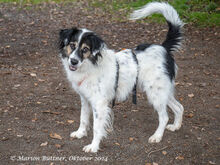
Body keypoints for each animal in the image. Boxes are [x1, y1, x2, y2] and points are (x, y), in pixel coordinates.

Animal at [58, 1, 184, 153]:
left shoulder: (100, 104)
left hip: (155, 93)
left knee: (164, 117)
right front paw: (80, 133)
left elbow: (96, 128)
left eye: (85, 49)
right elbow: (83, 118)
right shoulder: (85, 99)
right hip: (162, 91)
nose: (73, 61)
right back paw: (176, 126)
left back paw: (157, 136)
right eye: (72, 45)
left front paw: (93, 146)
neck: (91, 65)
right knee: (179, 107)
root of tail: (163, 48)